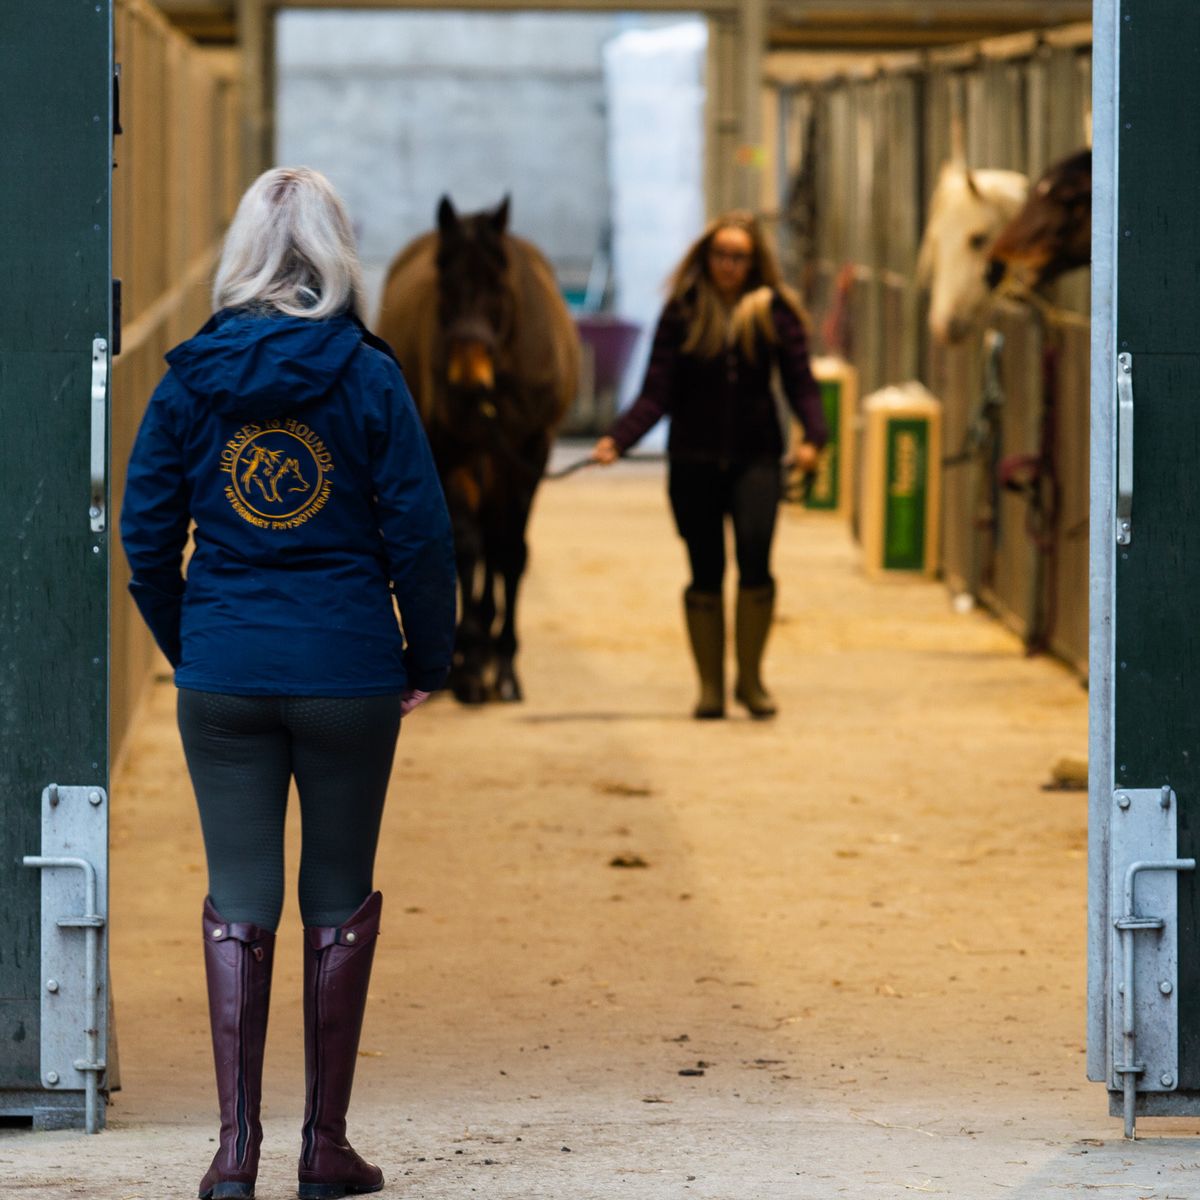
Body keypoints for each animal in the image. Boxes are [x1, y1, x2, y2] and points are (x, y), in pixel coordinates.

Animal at [376, 195, 578, 700]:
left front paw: (504, 666)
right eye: (445, 286)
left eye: (498, 286)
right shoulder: (451, 449)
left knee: (497, 539)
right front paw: (466, 660)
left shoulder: (530, 453)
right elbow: (466, 543)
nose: (468, 381)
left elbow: (511, 552)